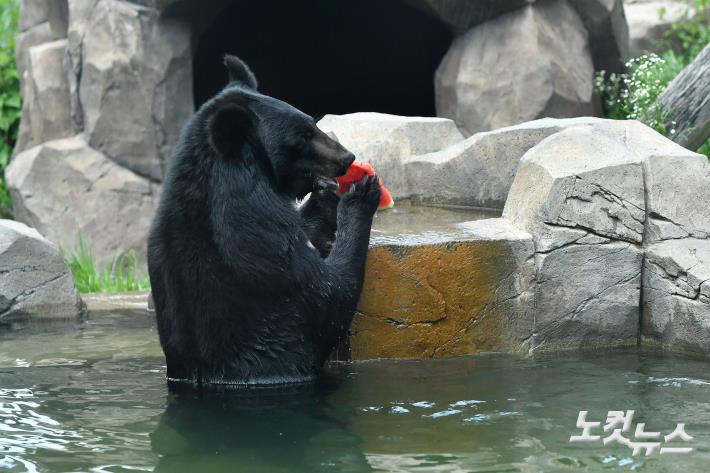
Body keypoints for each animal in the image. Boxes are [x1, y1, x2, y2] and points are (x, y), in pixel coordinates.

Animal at [147, 55, 382, 386]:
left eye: (313, 123)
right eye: (303, 136)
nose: (347, 158)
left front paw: (329, 195)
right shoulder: (257, 246)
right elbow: (328, 297)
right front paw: (359, 194)